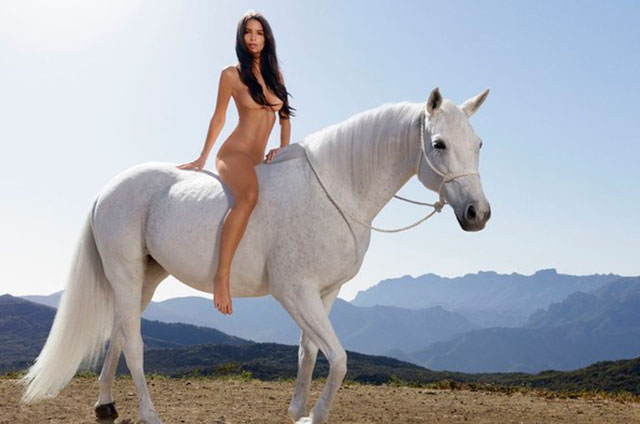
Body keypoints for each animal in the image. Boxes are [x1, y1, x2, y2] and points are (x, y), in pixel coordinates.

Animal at [21, 87, 491, 424]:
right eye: (439, 143)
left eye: (478, 144)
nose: (478, 214)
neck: (336, 191)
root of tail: (107, 190)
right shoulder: (294, 292)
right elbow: (339, 359)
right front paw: (313, 417)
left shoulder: (325, 293)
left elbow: (309, 354)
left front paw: (297, 412)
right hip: (125, 273)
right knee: (133, 344)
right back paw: (149, 415)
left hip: (146, 279)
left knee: (119, 331)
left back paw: (105, 405)